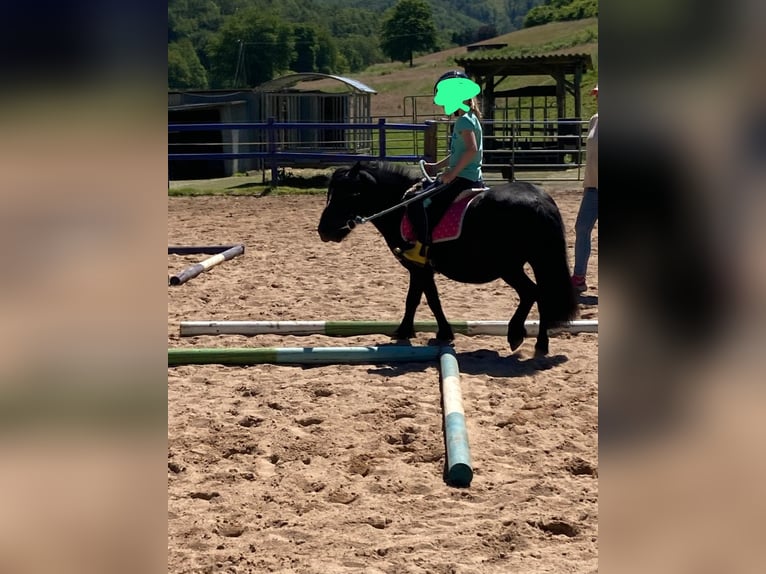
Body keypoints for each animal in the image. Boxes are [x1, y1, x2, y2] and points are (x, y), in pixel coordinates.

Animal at [316, 162, 576, 356]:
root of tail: (539, 200)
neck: (400, 207)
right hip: (529, 262)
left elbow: (422, 300)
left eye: (351, 194)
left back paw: (516, 335)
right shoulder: (421, 269)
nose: (324, 231)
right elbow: (423, 298)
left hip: (510, 266)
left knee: (532, 293)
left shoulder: (418, 268)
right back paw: (541, 344)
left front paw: (421, 332)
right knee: (541, 295)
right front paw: (420, 331)